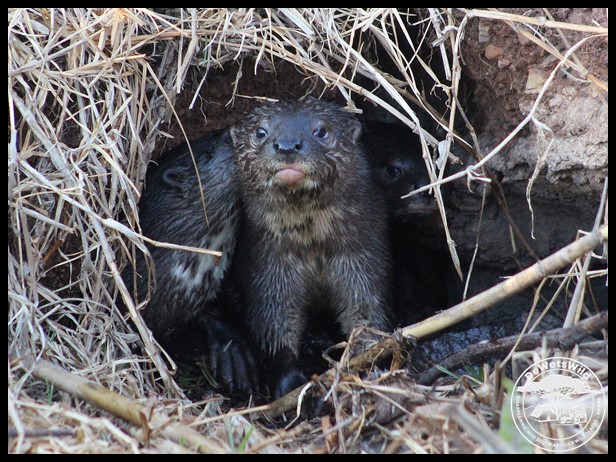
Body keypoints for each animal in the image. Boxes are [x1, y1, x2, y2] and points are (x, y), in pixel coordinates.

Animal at [229, 99, 393, 398]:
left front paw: (366, 363)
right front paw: (290, 381)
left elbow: (368, 311)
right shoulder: (269, 270)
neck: (313, 246)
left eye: (321, 131)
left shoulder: (363, 258)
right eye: (260, 132)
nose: (287, 145)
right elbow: (273, 322)